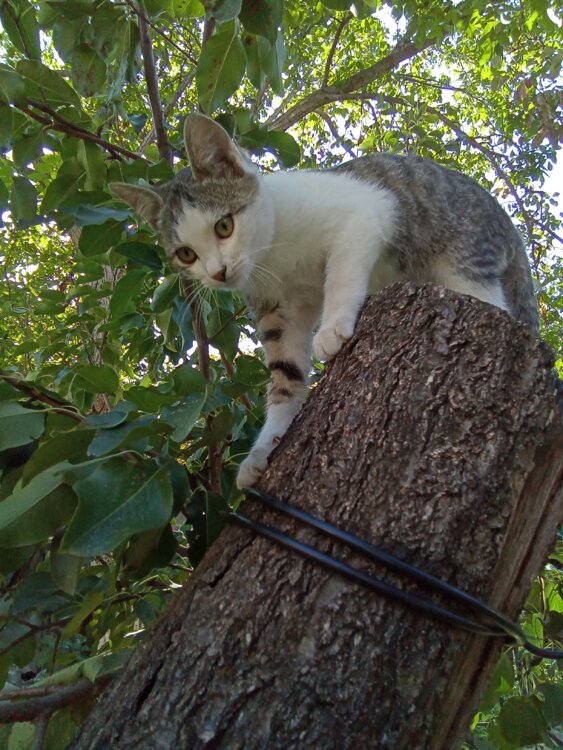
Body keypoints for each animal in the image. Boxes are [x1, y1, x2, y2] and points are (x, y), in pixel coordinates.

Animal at [110, 113, 539, 489]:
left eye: (224, 226)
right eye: (186, 254)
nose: (218, 273)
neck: (275, 257)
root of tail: (509, 227)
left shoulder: (365, 210)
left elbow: (343, 269)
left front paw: (332, 328)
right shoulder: (277, 309)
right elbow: (286, 372)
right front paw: (264, 447)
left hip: (464, 259)